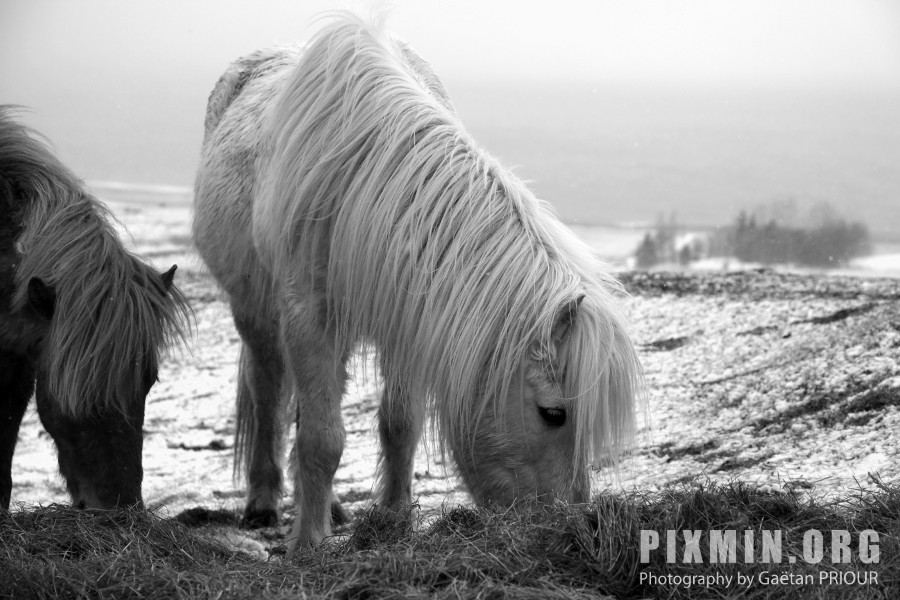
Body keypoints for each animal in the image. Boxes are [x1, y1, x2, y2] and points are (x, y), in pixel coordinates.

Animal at [192, 12, 640, 548]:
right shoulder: (309, 319)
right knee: (268, 397)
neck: (367, 187)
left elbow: (399, 423)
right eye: (554, 413)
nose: (566, 526)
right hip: (256, 316)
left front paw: (396, 519)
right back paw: (263, 503)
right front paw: (309, 544)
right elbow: (322, 439)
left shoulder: (406, 320)